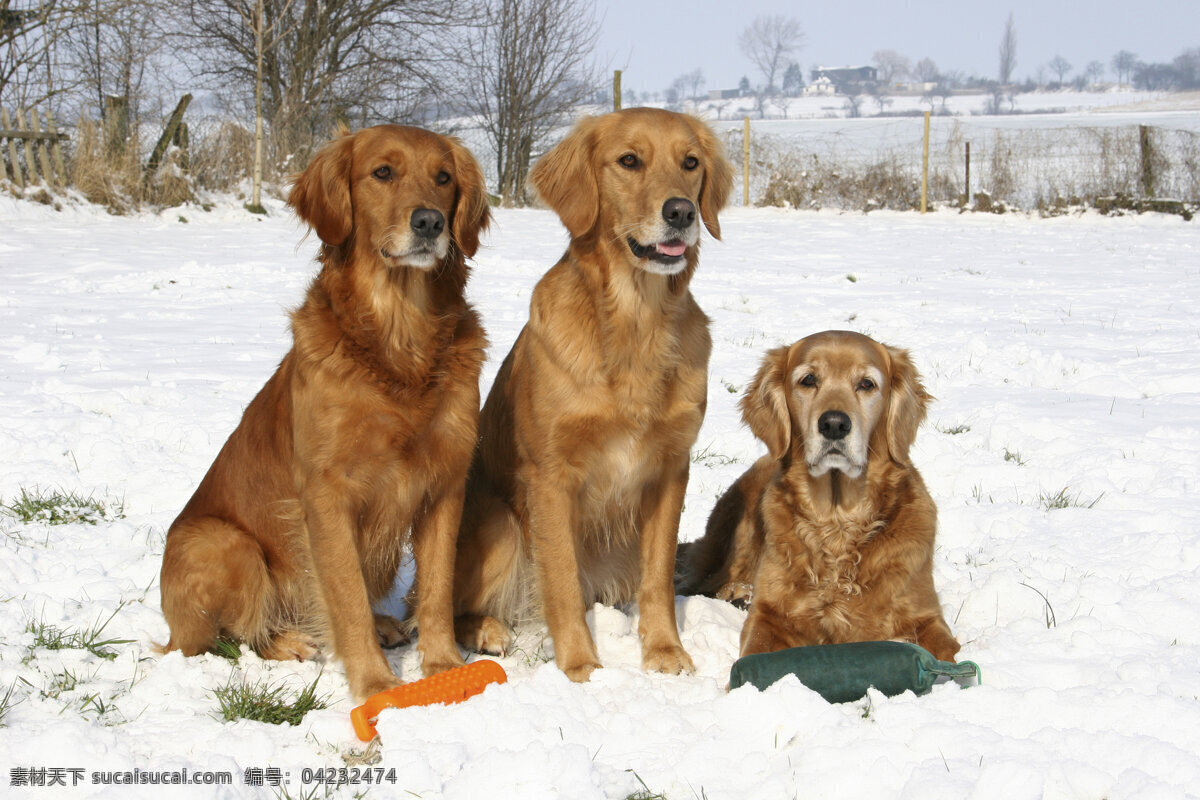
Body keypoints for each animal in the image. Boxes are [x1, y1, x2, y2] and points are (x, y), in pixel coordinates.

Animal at [160, 125, 492, 700]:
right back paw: (290, 640)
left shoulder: (446, 483)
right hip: (221, 543)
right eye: (382, 172)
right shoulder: (326, 494)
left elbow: (437, 586)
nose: (430, 222)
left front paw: (445, 665)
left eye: (444, 178)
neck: (400, 337)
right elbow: (345, 594)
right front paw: (377, 685)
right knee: (224, 637)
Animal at [451, 106, 729, 681]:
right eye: (629, 161)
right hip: (501, 526)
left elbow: (657, 578)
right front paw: (581, 667)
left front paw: (664, 651)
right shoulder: (551, 476)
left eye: (690, 163)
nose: (682, 212)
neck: (638, 322)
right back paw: (488, 629)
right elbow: (561, 580)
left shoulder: (670, 470)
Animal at [681, 331, 960, 662]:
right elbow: (756, 648)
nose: (834, 424)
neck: (838, 524)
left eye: (867, 383)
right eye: (809, 379)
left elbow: (946, 655)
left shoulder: (926, 616)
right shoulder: (769, 615)